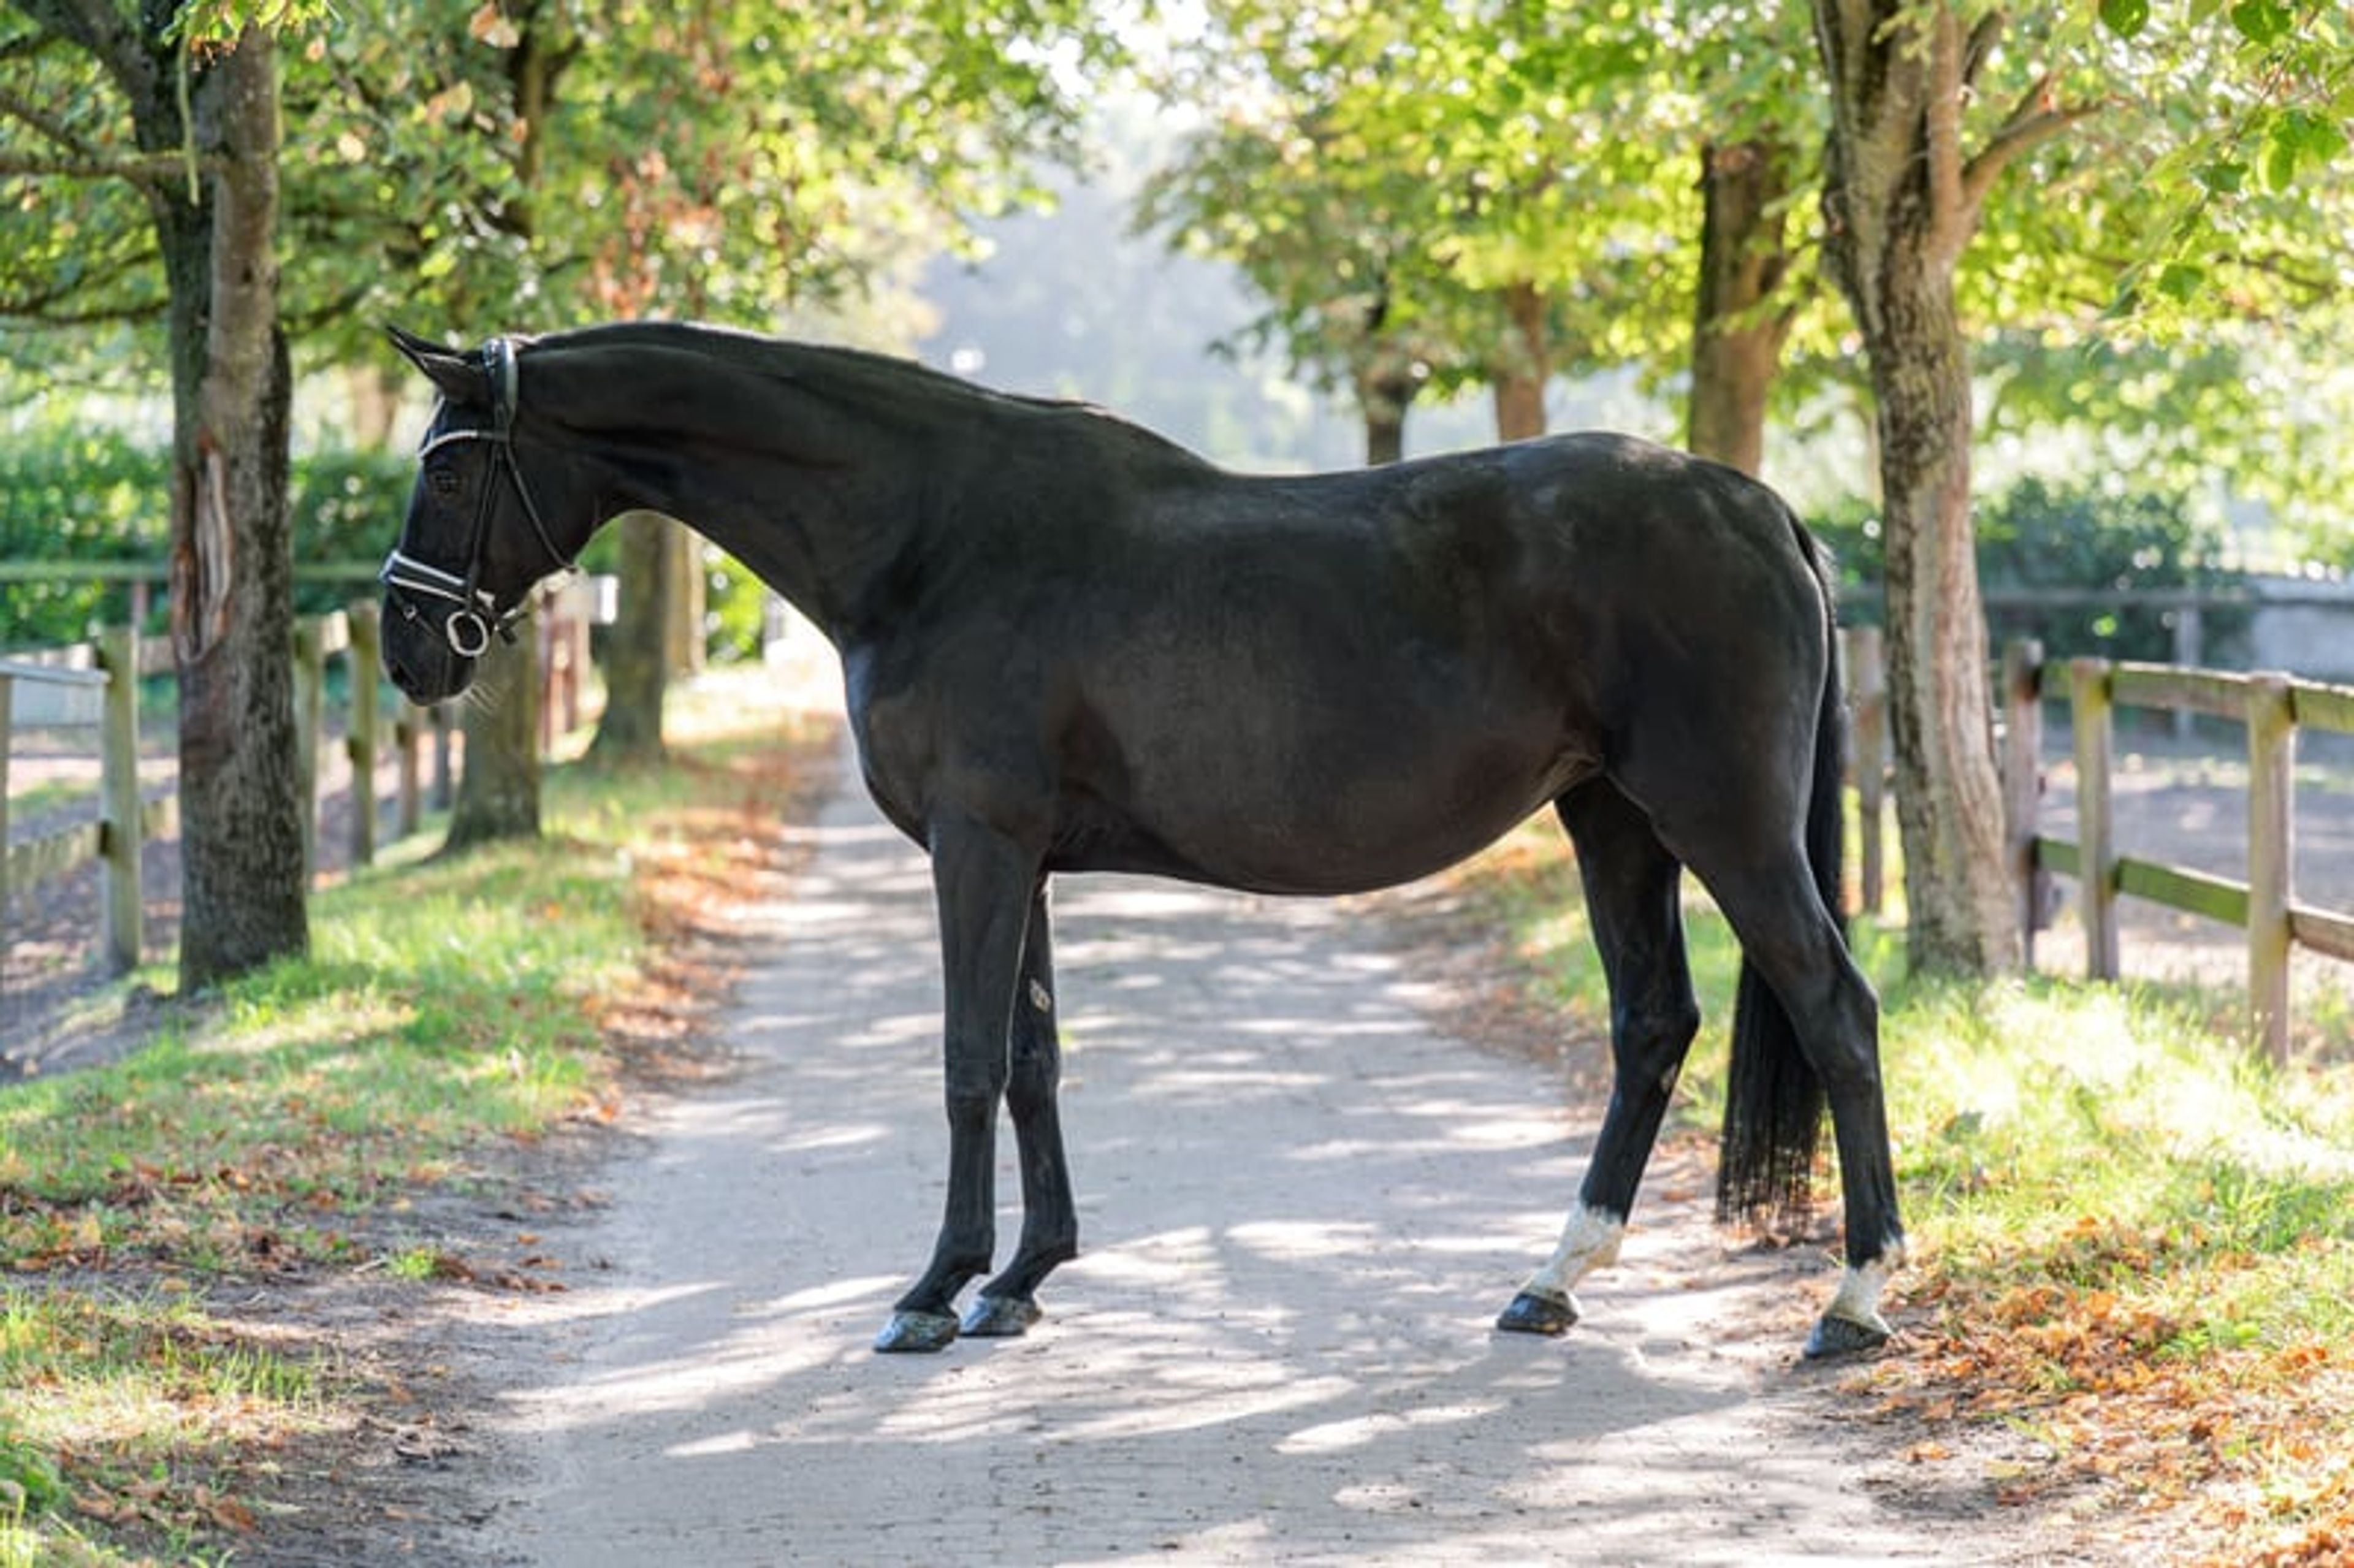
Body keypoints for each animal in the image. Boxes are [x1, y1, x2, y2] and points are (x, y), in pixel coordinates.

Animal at [377, 321, 1905, 1361]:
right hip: (1613, 820)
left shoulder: (975, 846)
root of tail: (1761, 506)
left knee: (1834, 1008)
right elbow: (1034, 1061)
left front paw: (931, 1292)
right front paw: (1020, 1280)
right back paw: (1552, 1281)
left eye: (449, 473)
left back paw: (1854, 1297)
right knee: (1654, 1023)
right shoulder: (1021, 855)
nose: (406, 649)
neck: (927, 538)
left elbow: (967, 1062)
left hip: (1723, 822)